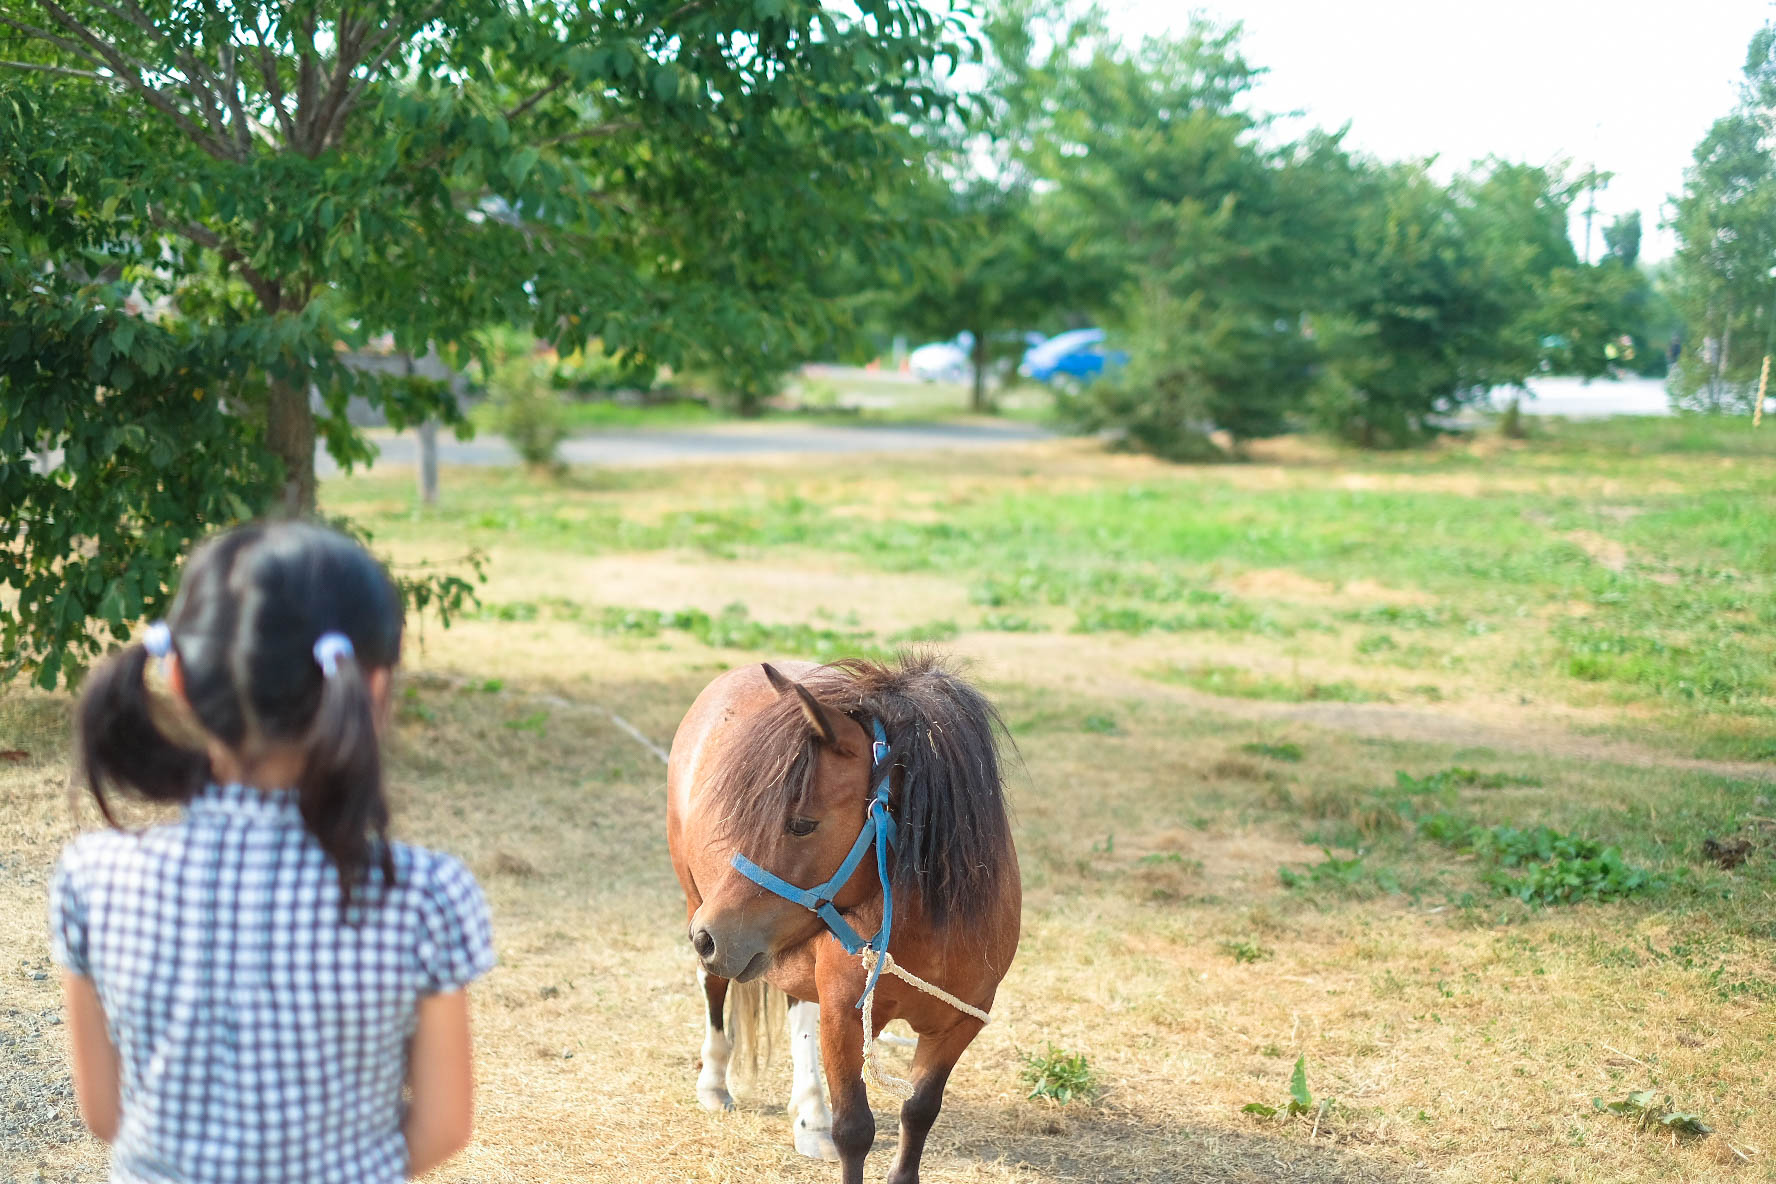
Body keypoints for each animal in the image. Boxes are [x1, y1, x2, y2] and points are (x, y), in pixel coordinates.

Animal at [667, 656, 1022, 1184]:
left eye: (801, 824)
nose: (707, 936)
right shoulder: (843, 1015)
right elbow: (854, 1130)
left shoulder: (959, 1024)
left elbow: (919, 1110)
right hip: (697, 899)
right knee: (714, 988)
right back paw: (714, 1084)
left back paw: (809, 1114)